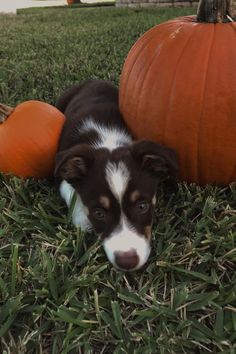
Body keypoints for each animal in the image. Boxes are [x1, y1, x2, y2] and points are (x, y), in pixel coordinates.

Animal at [54, 80, 177, 272]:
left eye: (142, 206)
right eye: (98, 213)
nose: (127, 262)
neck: (107, 142)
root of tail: (92, 80)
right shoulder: (63, 177)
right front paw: (84, 222)